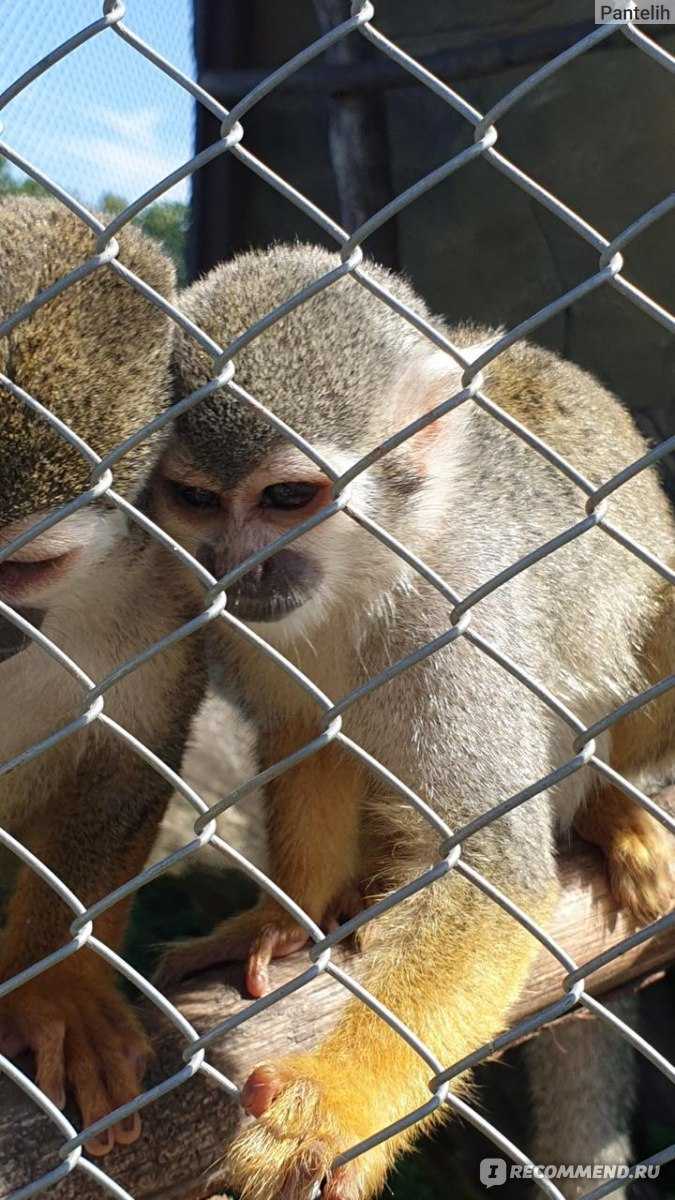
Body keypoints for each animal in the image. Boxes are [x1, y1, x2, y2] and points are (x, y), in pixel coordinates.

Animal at [152, 243, 672, 1200]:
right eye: (197, 499)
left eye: (287, 496)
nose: (238, 569)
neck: (365, 572)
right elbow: (304, 735)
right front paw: (284, 916)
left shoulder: (456, 609)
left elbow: (490, 872)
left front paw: (333, 1103)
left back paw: (610, 810)